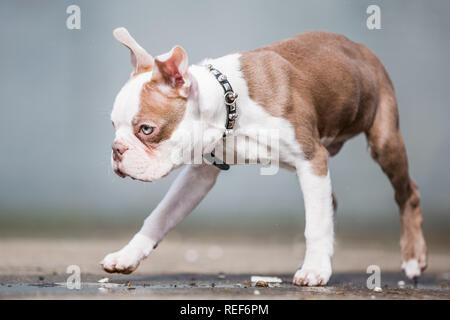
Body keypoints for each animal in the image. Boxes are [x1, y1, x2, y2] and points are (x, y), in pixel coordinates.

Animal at [100, 28, 428, 288]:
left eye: (146, 129)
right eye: (113, 126)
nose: (116, 149)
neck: (230, 106)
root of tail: (359, 47)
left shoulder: (311, 158)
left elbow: (315, 224)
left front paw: (315, 270)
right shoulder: (199, 175)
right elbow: (161, 215)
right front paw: (128, 254)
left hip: (382, 140)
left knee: (406, 193)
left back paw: (413, 258)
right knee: (329, 202)